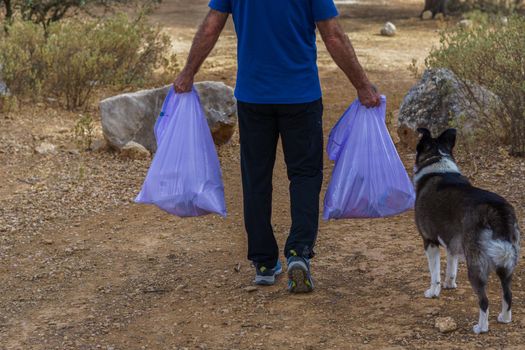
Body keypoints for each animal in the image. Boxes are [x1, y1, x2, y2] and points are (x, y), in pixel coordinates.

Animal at [414, 128, 520, 334]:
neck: (437, 161)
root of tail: (496, 209)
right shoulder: (453, 242)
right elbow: (451, 268)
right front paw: (450, 285)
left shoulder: (430, 241)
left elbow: (434, 274)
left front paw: (433, 292)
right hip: (506, 264)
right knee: (508, 294)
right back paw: (504, 318)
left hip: (476, 265)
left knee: (484, 301)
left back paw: (481, 327)